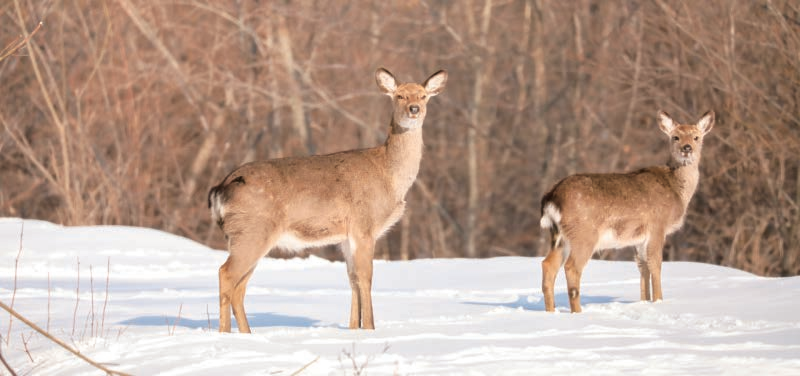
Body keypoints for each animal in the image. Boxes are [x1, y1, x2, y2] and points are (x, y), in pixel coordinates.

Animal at [206, 68, 446, 332]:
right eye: (399, 95)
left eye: (423, 96)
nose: (414, 108)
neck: (390, 178)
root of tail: (221, 188)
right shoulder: (364, 226)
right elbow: (366, 278)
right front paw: (370, 329)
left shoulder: (346, 236)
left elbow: (352, 279)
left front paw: (354, 329)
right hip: (253, 231)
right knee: (226, 274)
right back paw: (225, 334)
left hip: (246, 236)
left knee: (239, 286)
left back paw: (246, 334)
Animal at [540, 110, 716, 312]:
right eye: (675, 137)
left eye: (696, 137)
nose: (687, 148)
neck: (677, 192)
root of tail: (552, 196)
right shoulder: (658, 225)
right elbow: (655, 264)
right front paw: (659, 301)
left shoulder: (639, 237)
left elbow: (643, 266)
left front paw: (645, 301)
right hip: (584, 233)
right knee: (571, 268)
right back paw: (578, 312)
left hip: (560, 236)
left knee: (547, 264)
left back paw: (551, 312)